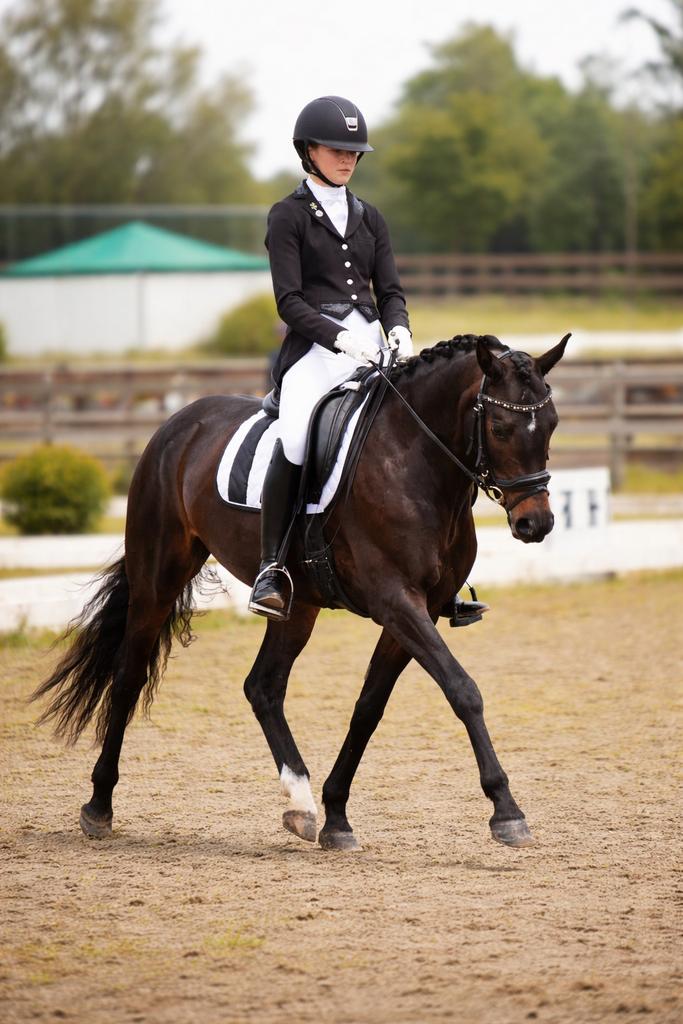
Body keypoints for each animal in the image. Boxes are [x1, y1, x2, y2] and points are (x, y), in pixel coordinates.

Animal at [32, 332, 569, 851]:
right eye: (500, 428)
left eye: (552, 425)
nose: (535, 524)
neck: (415, 461)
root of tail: (178, 422)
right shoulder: (397, 601)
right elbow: (463, 690)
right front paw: (507, 811)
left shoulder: (422, 609)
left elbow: (369, 707)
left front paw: (337, 815)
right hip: (157, 580)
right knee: (128, 677)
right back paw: (99, 807)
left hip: (298, 605)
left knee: (263, 687)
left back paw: (302, 805)